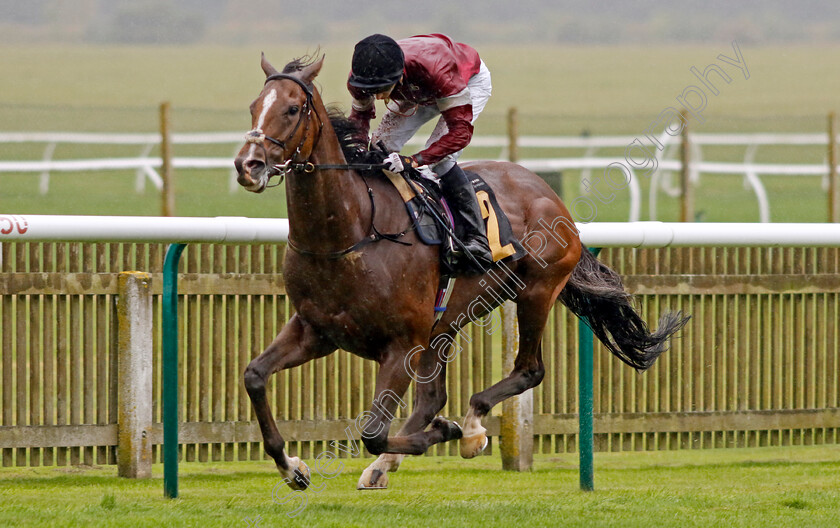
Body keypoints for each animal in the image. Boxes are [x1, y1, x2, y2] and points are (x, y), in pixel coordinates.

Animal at [233, 53, 684, 490]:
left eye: (293, 108)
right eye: (253, 106)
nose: (247, 165)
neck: (350, 233)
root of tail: (551, 196)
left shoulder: (400, 345)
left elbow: (374, 430)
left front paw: (449, 432)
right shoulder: (316, 330)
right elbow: (254, 375)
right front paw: (292, 467)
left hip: (535, 292)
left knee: (528, 370)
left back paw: (470, 428)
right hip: (445, 321)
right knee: (433, 397)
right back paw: (387, 465)